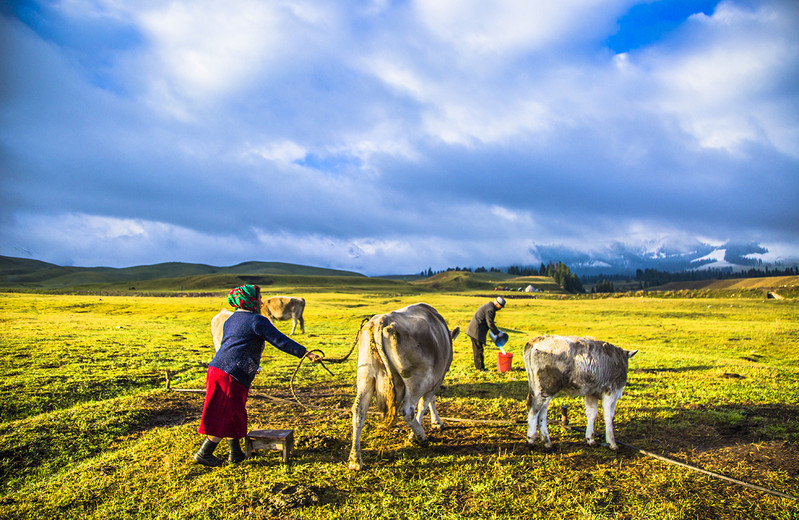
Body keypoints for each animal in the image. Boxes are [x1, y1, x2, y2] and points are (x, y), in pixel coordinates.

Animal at [348, 302, 460, 470]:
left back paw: (355, 460)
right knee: (408, 410)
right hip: (418, 379)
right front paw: (432, 425)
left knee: (358, 410)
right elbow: (426, 403)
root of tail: (383, 320)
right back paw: (421, 437)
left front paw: (435, 422)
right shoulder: (436, 379)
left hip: (365, 375)